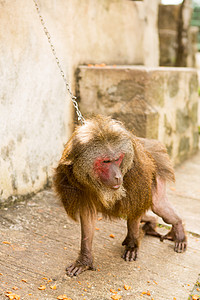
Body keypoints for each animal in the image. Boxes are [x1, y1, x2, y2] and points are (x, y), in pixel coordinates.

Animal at [54, 115, 187, 276]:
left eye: (117, 159)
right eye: (106, 161)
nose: (118, 176)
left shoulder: (136, 171)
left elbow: (135, 206)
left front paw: (131, 245)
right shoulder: (72, 179)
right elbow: (88, 215)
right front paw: (84, 260)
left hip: (156, 173)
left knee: (158, 205)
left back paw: (178, 229)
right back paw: (151, 222)